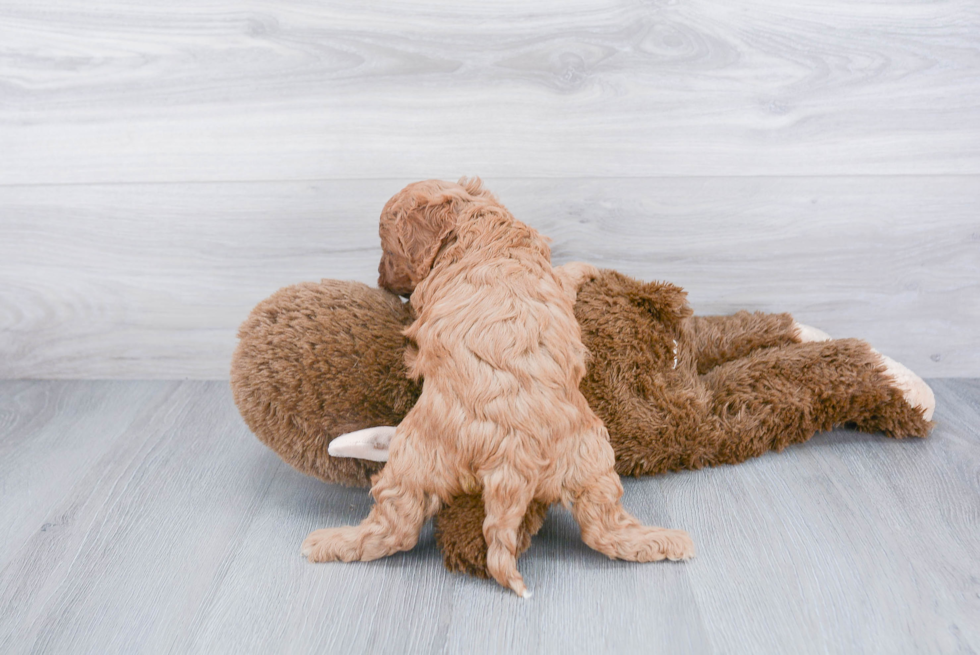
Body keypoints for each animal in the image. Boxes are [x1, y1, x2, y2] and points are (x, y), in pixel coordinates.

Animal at [302, 178, 692, 596]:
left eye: (388, 249)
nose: (380, 281)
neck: (473, 222)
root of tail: (512, 458)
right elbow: (566, 273)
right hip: (592, 459)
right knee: (604, 529)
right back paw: (668, 541)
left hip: (413, 457)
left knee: (395, 529)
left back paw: (328, 541)